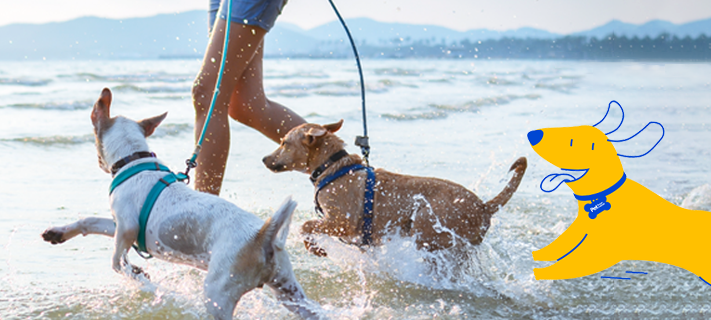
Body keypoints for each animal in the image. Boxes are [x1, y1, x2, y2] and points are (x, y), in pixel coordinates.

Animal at [43, 88, 320, 320]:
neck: (134, 159)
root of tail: (263, 236)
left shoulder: (127, 228)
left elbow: (116, 261)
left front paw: (137, 276)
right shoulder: (119, 225)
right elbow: (90, 222)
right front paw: (58, 233)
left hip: (218, 293)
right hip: (289, 291)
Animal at [264, 121, 524, 256]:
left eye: (284, 143)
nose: (264, 159)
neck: (333, 167)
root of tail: (484, 206)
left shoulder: (342, 222)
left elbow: (306, 225)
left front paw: (315, 248)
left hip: (427, 226)